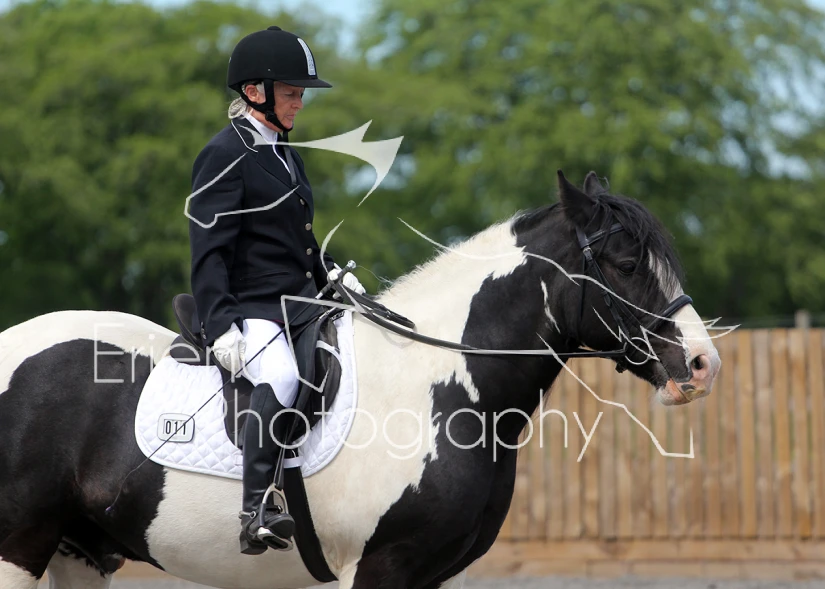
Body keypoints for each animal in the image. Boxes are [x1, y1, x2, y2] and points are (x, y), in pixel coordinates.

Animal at [0, 171, 720, 589]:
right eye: (624, 264)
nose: (701, 364)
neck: (438, 385)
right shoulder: (380, 566)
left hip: (78, 553)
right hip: (20, 547)